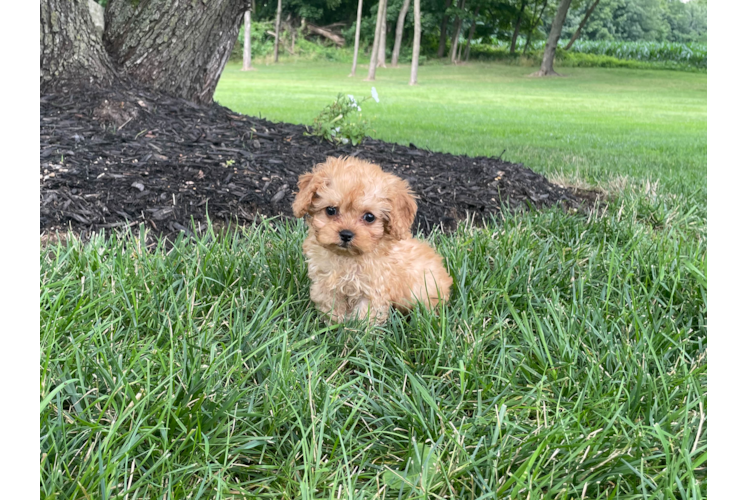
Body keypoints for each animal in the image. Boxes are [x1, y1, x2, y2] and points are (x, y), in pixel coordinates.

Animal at [292, 158, 452, 326]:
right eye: (330, 210)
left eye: (369, 217)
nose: (346, 234)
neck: (348, 258)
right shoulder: (326, 285)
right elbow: (332, 307)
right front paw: (334, 327)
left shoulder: (373, 290)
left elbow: (364, 316)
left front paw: (355, 330)